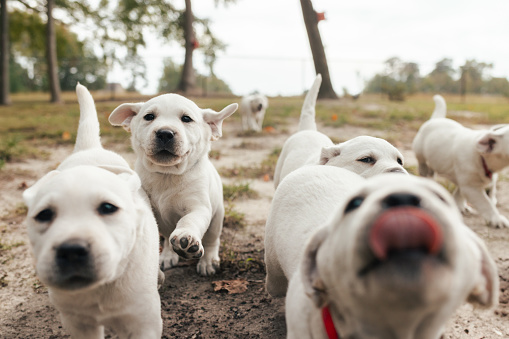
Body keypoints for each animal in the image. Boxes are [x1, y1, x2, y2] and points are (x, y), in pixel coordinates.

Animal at [22, 83, 162, 338]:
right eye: (44, 215)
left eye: (108, 208)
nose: (71, 251)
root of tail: (90, 148)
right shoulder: (78, 323)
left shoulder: (143, 322)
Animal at [107, 93, 238, 276]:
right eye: (149, 117)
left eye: (186, 119)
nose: (164, 133)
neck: (167, 175)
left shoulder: (199, 207)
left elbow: (189, 220)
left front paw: (187, 237)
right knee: (168, 237)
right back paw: (168, 256)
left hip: (217, 216)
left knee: (212, 239)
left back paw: (208, 261)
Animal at [410, 94, 508, 228]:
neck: (483, 158)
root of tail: (436, 119)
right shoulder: (471, 187)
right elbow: (486, 203)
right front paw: (497, 219)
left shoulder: (466, 183)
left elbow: (460, 193)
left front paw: (460, 205)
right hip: (419, 151)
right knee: (423, 164)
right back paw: (425, 172)